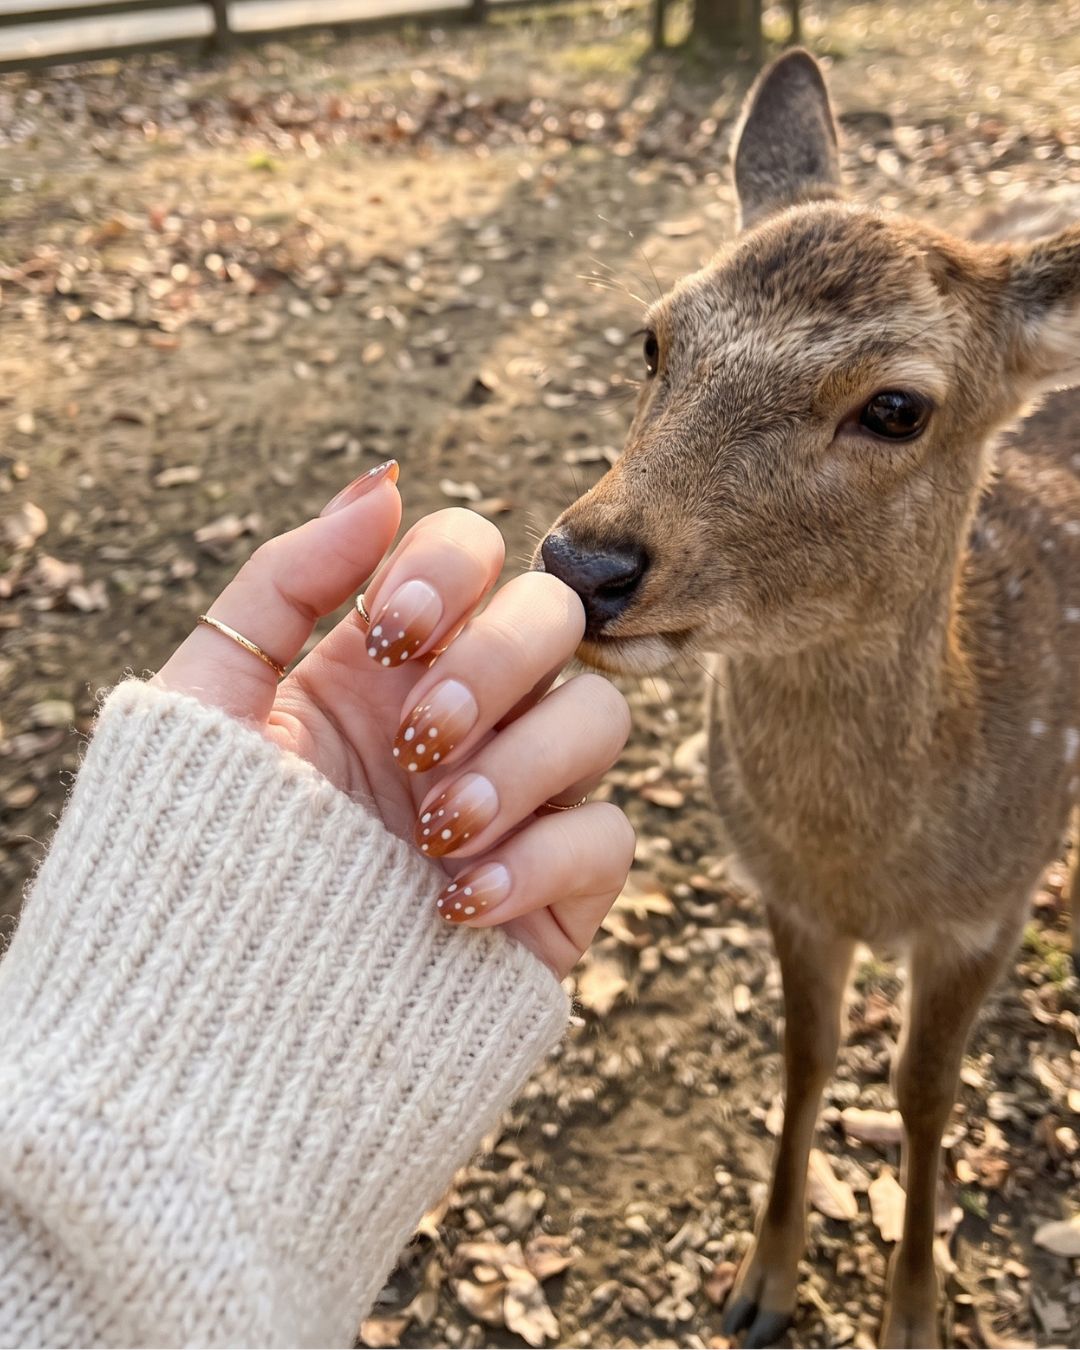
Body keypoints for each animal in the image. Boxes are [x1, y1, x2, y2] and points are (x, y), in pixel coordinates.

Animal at [536, 49, 1080, 1349]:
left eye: (896, 406)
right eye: (653, 340)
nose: (585, 562)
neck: (870, 866)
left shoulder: (990, 905)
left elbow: (925, 1093)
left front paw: (915, 1313)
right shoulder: (783, 893)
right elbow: (803, 1058)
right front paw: (759, 1284)